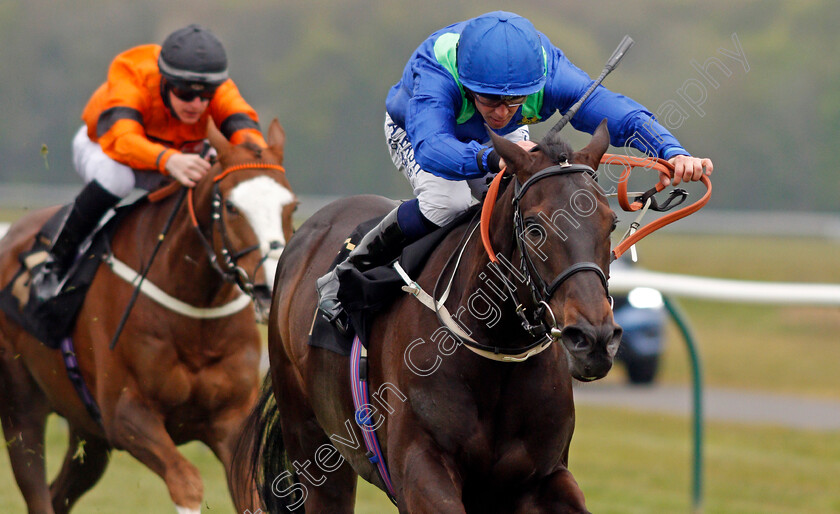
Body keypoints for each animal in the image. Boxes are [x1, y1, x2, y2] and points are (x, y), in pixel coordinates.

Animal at [0, 118, 298, 510]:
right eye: (232, 207)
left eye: (291, 207)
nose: (270, 287)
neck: (196, 322)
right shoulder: (126, 415)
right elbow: (186, 481)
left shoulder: (232, 420)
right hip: (22, 408)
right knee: (37, 491)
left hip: (88, 433)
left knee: (58, 493)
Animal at [246, 119, 620, 508]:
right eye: (534, 227)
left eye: (611, 223)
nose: (594, 339)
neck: (497, 351)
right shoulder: (421, 468)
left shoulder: (544, 476)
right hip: (311, 442)